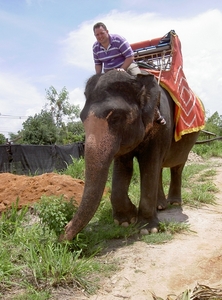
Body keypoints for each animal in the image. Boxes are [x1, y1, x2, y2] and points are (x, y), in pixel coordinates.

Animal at [61, 69, 200, 240]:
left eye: (115, 117)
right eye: (81, 118)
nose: (62, 235)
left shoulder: (162, 126)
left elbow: (149, 165)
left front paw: (147, 230)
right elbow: (124, 168)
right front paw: (126, 221)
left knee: (177, 166)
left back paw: (174, 204)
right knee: (160, 168)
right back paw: (160, 206)